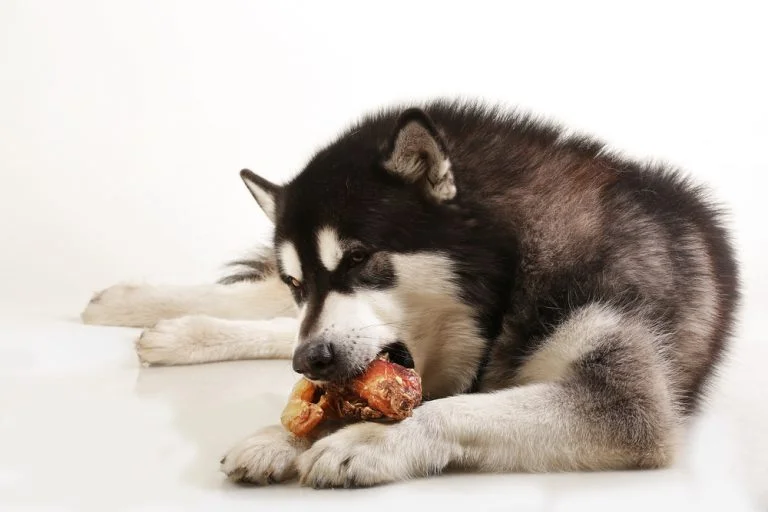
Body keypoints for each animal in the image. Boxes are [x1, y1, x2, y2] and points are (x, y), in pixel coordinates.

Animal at [78, 101, 736, 488]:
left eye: (359, 258)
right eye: (298, 282)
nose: (310, 361)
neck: (513, 275)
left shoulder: (628, 404)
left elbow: (456, 409)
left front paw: (370, 439)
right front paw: (283, 433)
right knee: (265, 316)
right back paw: (142, 309)